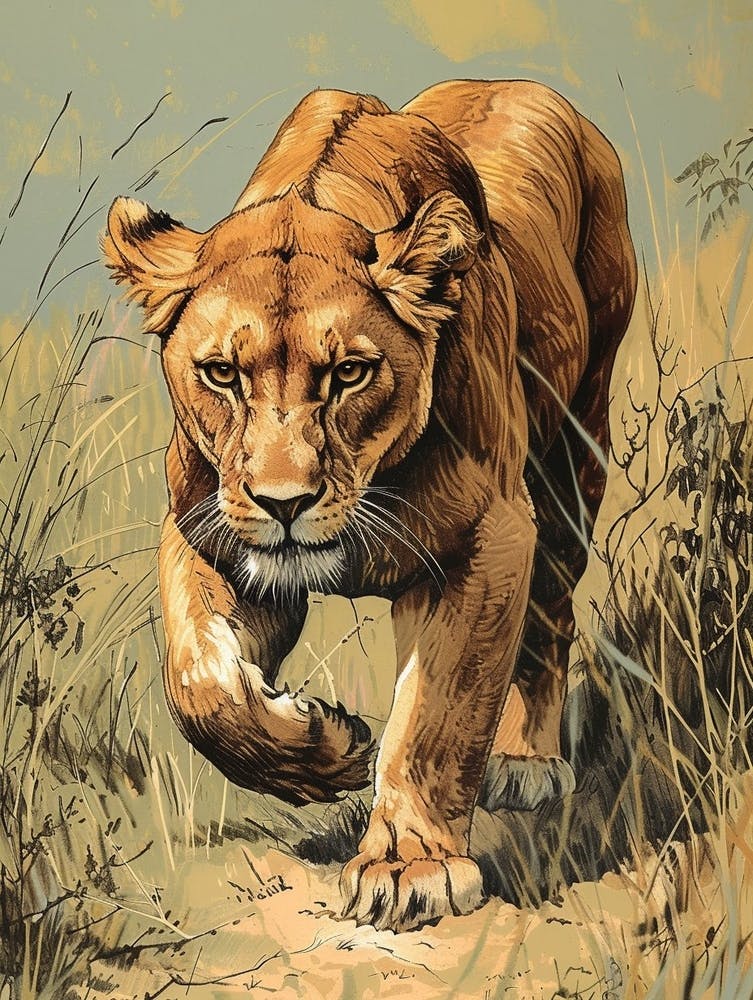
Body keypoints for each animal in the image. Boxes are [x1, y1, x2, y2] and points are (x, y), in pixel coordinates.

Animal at [102, 79, 636, 933]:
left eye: (349, 373)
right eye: (221, 373)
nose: (284, 503)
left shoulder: (485, 538)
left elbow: (435, 717)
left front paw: (410, 868)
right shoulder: (207, 533)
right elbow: (200, 683)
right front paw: (325, 749)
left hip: (571, 454)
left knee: (550, 619)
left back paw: (525, 761)